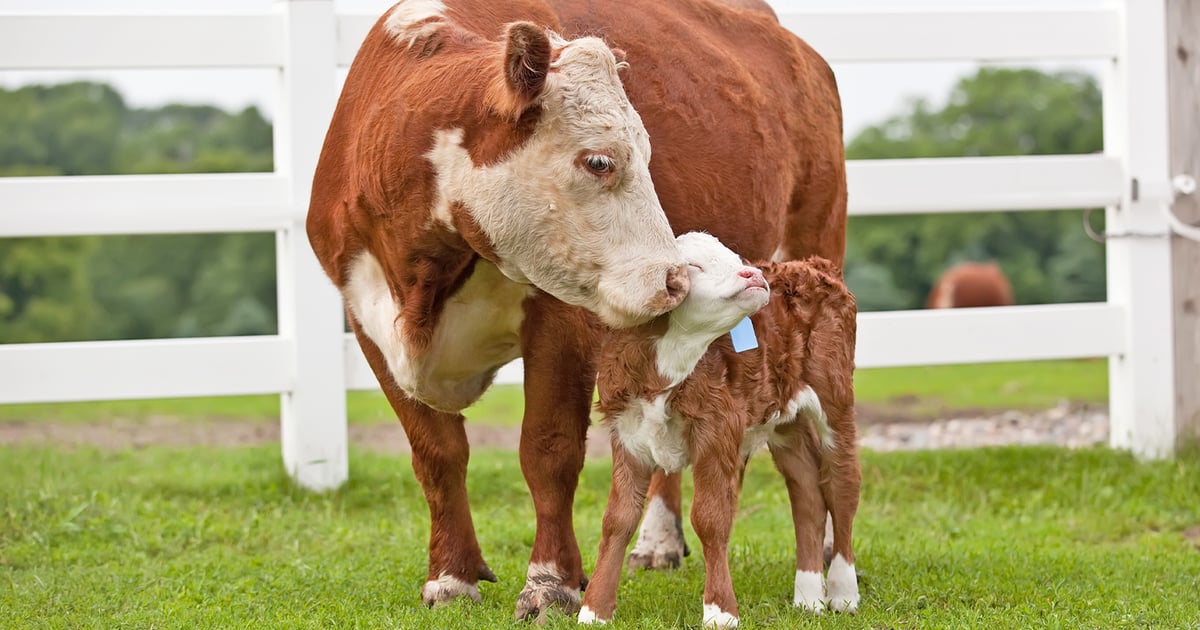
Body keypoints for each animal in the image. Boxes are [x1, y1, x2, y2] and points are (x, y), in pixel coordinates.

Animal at [579, 232, 860, 627]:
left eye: (736, 258)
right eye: (693, 266)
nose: (753, 274)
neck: (667, 367)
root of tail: (811, 265)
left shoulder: (716, 432)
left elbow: (710, 518)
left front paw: (720, 611)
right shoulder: (628, 435)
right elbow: (617, 519)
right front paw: (594, 610)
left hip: (835, 400)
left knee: (842, 486)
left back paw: (843, 593)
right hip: (785, 421)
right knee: (807, 493)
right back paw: (808, 598)